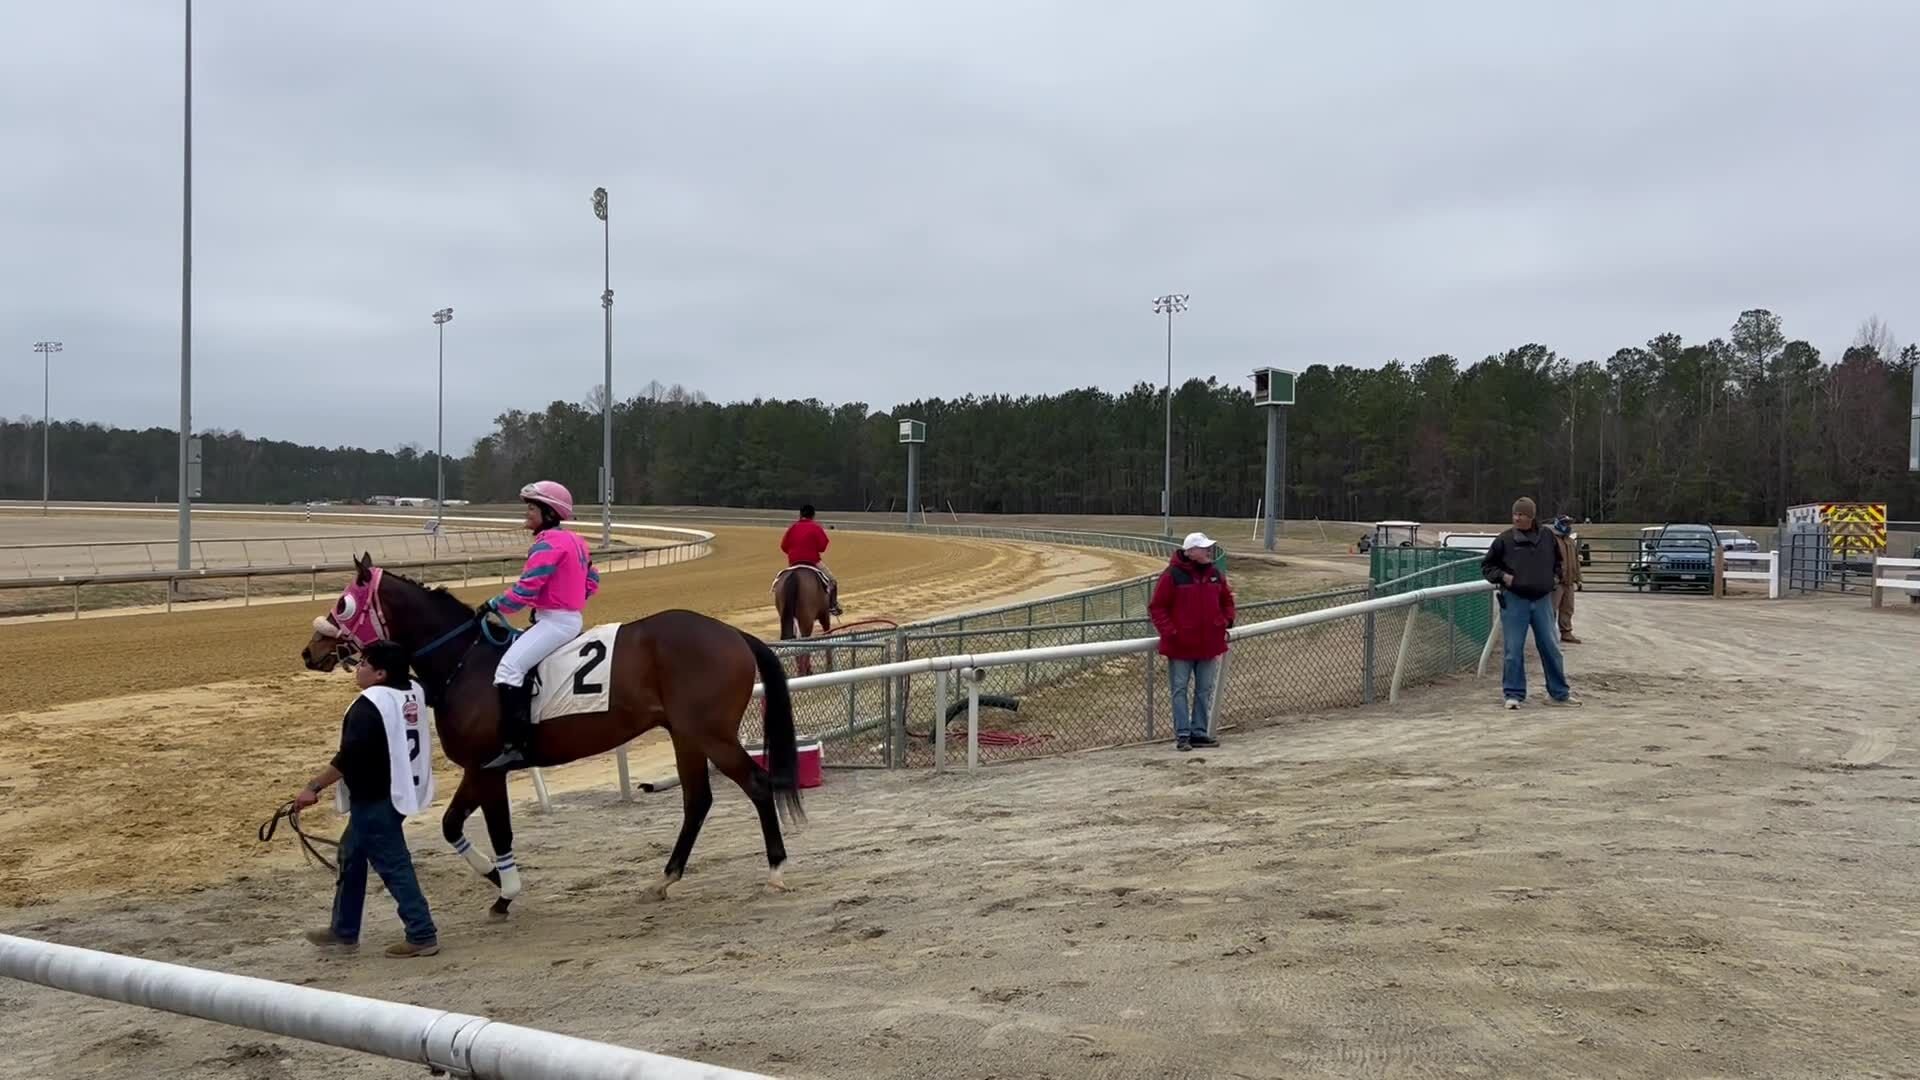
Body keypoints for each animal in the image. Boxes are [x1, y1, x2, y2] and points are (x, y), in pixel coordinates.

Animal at [297, 549, 802, 910]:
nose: (310, 649)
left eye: (341, 602)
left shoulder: (489, 769)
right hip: (686, 736)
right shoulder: (475, 769)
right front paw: (492, 874)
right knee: (697, 801)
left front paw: (506, 892)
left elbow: (499, 829)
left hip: (711, 735)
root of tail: (734, 634)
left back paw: (777, 870)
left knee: (758, 785)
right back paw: (664, 878)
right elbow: (449, 823)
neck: (465, 660)